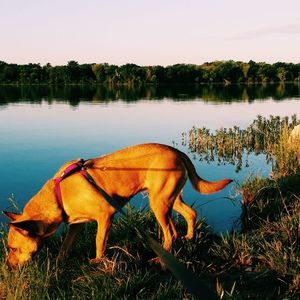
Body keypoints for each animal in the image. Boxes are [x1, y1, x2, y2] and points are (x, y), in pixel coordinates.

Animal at [2, 142, 232, 268]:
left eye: (13, 248)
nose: (8, 267)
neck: (57, 195)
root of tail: (177, 151)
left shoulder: (105, 215)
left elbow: (99, 241)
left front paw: (97, 261)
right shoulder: (76, 225)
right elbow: (66, 245)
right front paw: (60, 260)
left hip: (158, 203)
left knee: (170, 233)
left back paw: (162, 260)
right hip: (167, 199)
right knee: (188, 216)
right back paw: (188, 238)